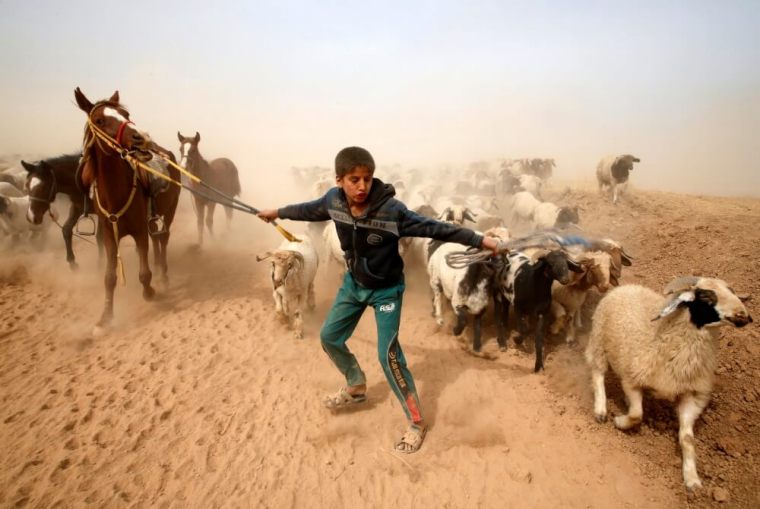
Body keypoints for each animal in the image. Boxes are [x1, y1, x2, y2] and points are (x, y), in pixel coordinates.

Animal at [74, 86, 181, 336]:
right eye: (100, 120)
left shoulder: (139, 231)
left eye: (125, 114)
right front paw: (104, 319)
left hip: (170, 211)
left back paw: (163, 275)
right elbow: (109, 278)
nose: (141, 138)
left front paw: (150, 292)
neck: (116, 194)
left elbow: (143, 273)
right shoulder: (109, 236)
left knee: (163, 239)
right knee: (157, 239)